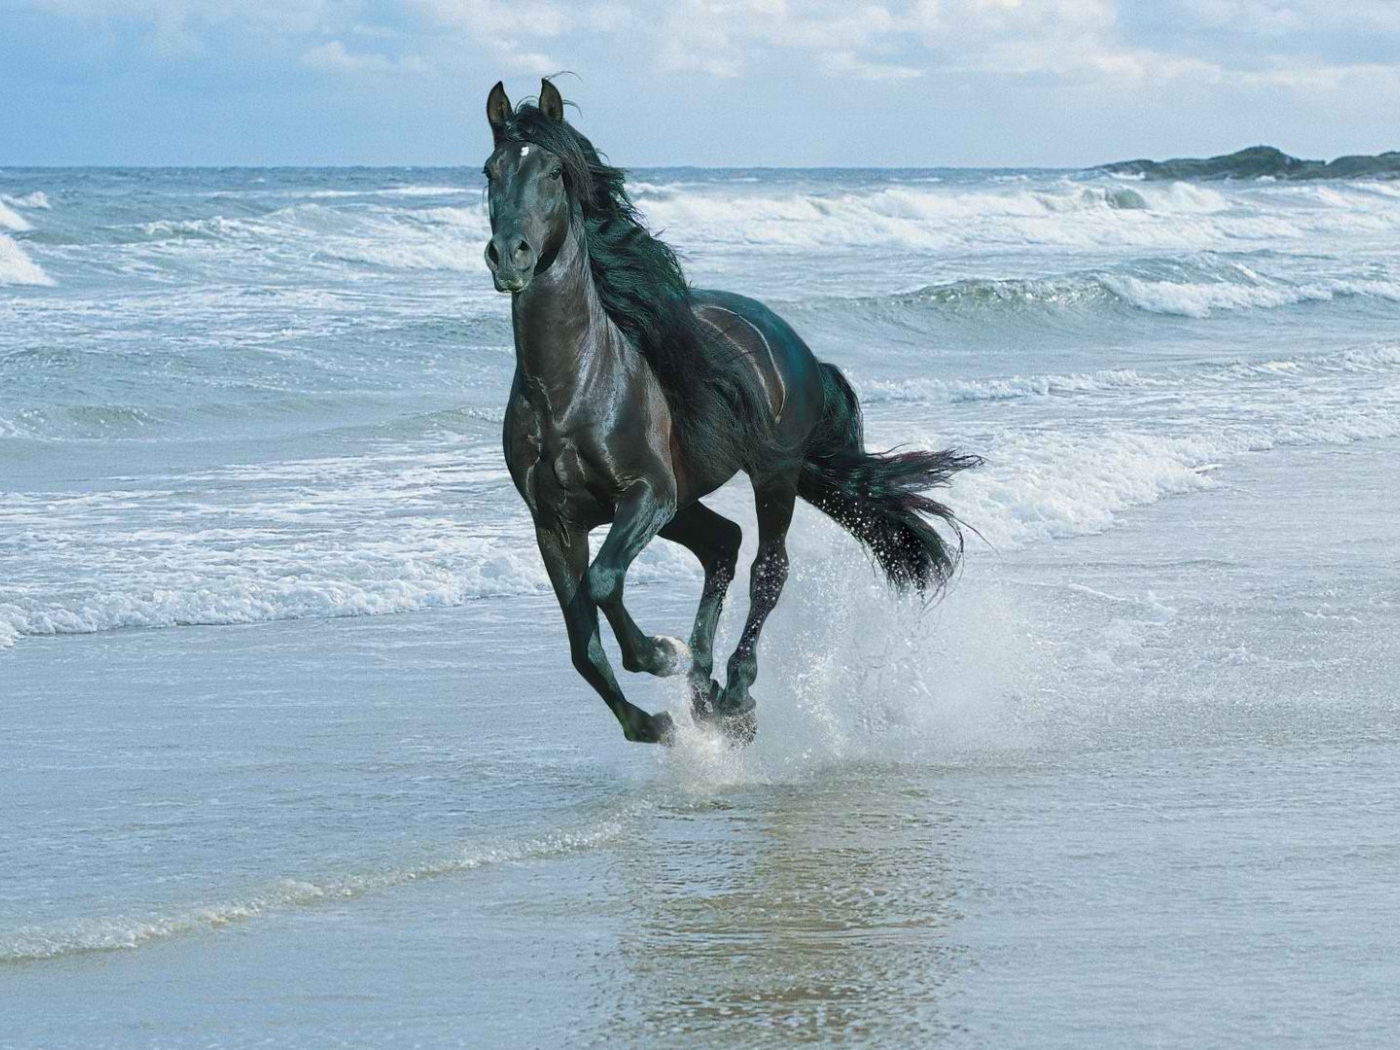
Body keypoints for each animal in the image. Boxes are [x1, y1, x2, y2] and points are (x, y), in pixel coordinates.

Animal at [482, 78, 980, 745]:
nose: (509, 255)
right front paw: (653, 721)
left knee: (768, 568)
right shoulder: (554, 523)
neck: (572, 389)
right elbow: (582, 644)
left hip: (771, 476)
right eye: (490, 171)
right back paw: (705, 690)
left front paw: (659, 654)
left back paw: (735, 691)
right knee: (723, 544)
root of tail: (793, 343)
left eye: (555, 172)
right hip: (687, 502)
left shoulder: (646, 494)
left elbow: (605, 583)